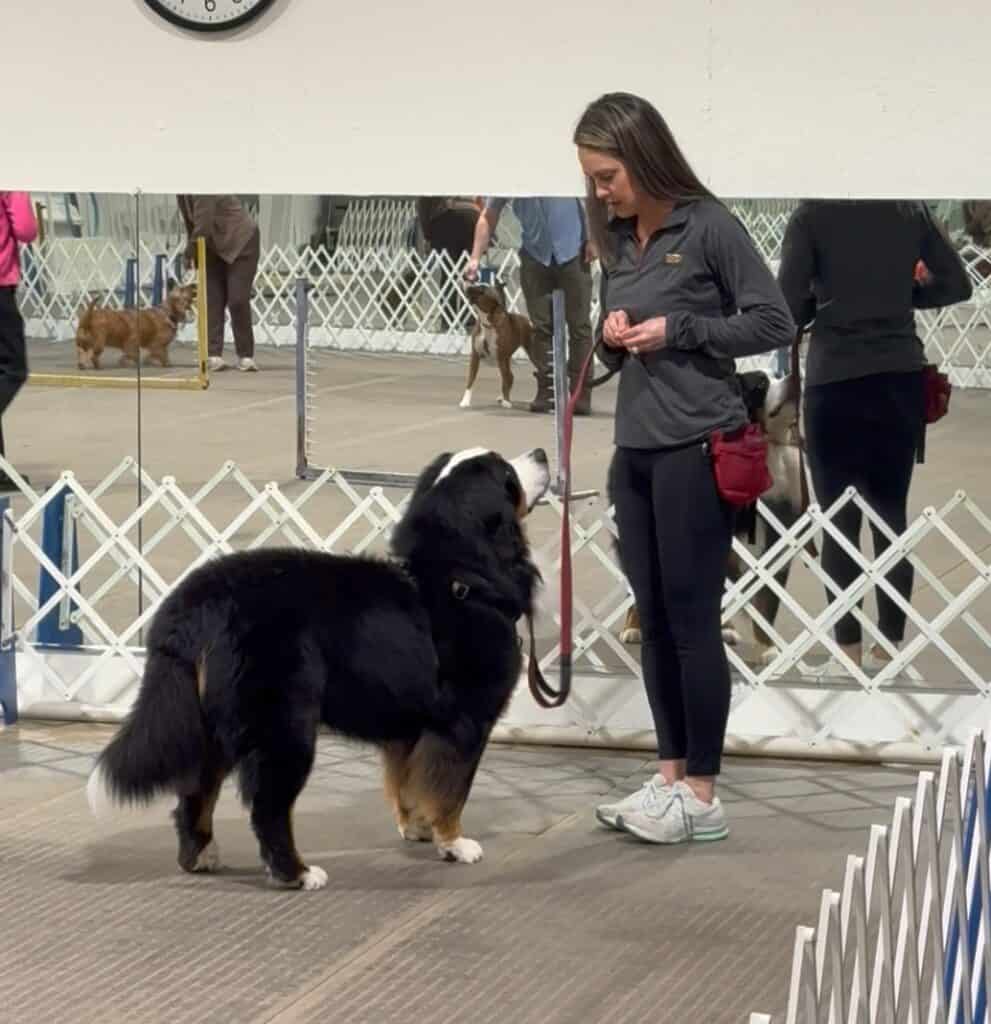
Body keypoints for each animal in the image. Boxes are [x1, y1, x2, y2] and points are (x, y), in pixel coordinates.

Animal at [458, 280, 532, 411]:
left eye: (482, 289)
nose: (468, 281)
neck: (488, 322)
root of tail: (524, 318)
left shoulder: (501, 357)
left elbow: (506, 379)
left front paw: (507, 401)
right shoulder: (475, 356)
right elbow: (470, 380)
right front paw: (465, 401)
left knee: (508, 377)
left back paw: (505, 399)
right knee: (509, 377)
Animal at [614, 372, 810, 667]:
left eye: (777, 375)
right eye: (762, 384)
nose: (793, 376)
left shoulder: (774, 547)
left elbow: (766, 606)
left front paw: (768, 649)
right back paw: (634, 628)